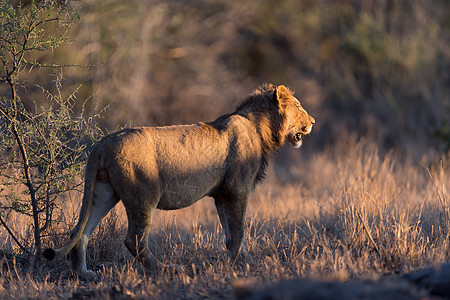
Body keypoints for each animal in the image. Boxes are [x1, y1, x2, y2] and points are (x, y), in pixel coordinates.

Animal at [44, 84, 314, 278]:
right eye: (299, 106)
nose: (312, 122)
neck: (259, 127)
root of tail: (102, 144)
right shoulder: (237, 190)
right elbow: (238, 231)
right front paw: (241, 264)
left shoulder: (221, 194)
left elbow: (229, 233)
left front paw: (238, 259)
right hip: (144, 196)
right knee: (134, 240)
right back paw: (166, 269)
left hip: (103, 193)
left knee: (81, 233)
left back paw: (83, 274)